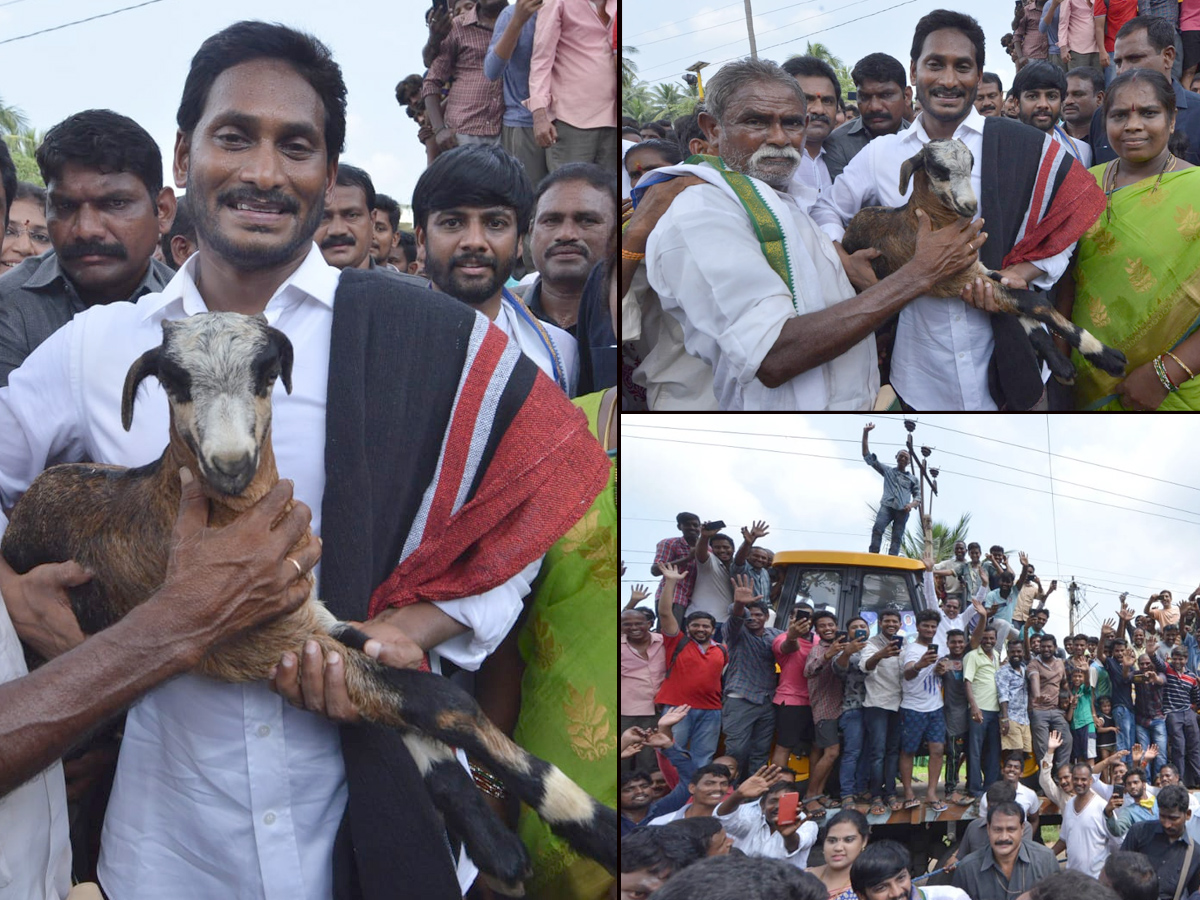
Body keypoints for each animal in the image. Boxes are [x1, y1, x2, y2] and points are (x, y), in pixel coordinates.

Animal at [0, 314, 614, 897]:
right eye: (174, 381)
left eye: (266, 371)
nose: (231, 463)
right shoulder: (256, 642)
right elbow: (440, 700)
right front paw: (589, 826)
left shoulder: (315, 619)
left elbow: (411, 706)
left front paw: (501, 850)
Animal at [844, 139, 1123, 381]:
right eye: (938, 169)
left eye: (971, 164)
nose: (970, 205)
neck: (925, 219)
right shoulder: (954, 279)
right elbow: (1033, 302)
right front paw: (1107, 357)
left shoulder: (978, 270)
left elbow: (1023, 307)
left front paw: (1064, 365)